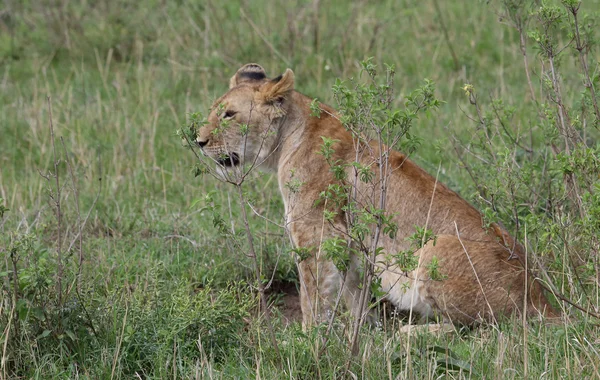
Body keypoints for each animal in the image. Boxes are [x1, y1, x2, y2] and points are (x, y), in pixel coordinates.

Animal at [197, 63, 556, 330]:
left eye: (229, 114)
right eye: (215, 111)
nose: (198, 140)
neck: (288, 137)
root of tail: (541, 300)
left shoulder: (315, 233)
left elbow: (313, 295)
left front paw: (307, 341)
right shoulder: (347, 242)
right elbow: (353, 292)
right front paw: (365, 331)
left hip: (437, 247)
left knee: (474, 330)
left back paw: (408, 334)